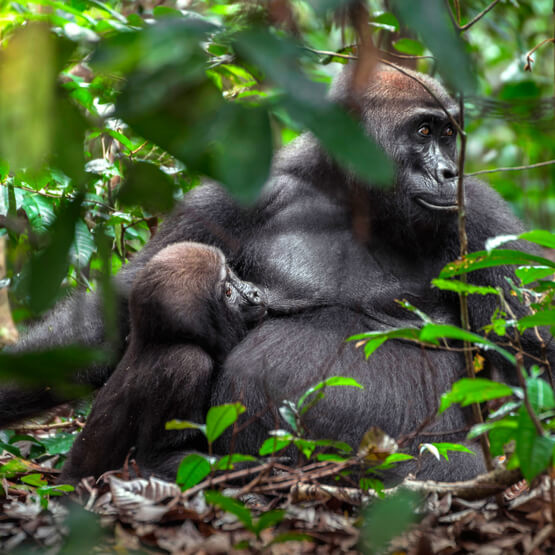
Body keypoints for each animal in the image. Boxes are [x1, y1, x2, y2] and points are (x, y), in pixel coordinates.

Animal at [60, 241, 268, 484]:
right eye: (227, 292)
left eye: (233, 273)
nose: (255, 292)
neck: (159, 340)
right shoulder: (186, 366)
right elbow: (156, 459)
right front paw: (259, 467)